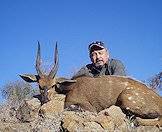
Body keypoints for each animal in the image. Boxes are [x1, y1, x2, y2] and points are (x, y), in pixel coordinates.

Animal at [20, 42, 162, 126]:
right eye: (39, 85)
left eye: (53, 85)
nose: (44, 99)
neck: (70, 87)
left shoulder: (85, 106)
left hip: (126, 99)